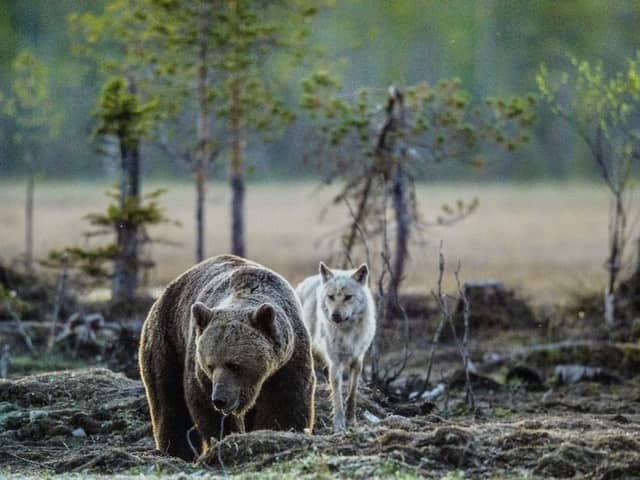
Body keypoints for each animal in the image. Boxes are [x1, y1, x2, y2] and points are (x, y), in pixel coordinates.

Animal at [139, 253, 314, 460]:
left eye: (235, 364)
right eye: (210, 365)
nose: (220, 399)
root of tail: (162, 295)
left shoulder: (288, 360)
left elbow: (285, 402)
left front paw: (279, 432)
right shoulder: (198, 368)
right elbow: (205, 406)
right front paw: (225, 439)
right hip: (167, 342)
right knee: (167, 399)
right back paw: (176, 450)